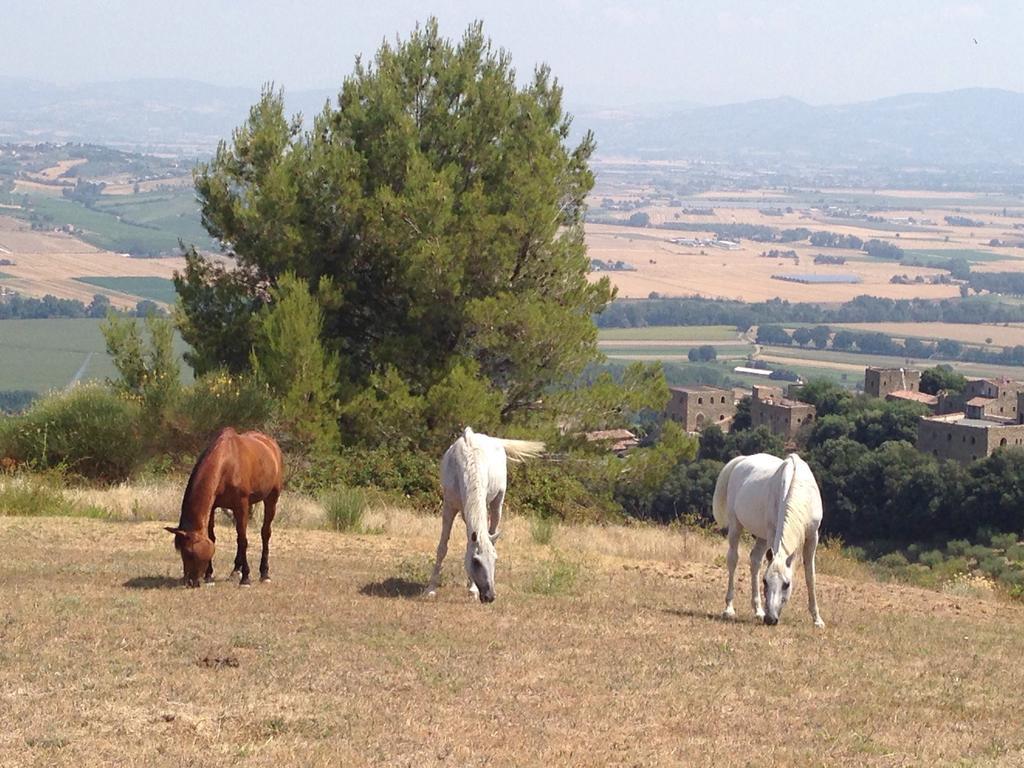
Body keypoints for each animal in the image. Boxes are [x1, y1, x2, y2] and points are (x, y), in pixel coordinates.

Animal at [165, 428, 284, 589]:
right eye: (181, 552)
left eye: (190, 552)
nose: (189, 582)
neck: (227, 463)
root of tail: (271, 444)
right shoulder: (213, 507)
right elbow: (213, 537)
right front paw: (209, 576)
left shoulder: (241, 505)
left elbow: (243, 540)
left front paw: (246, 578)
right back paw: (235, 570)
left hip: (271, 498)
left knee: (265, 533)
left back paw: (264, 574)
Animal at [423, 430, 544, 606]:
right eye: (476, 561)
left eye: (495, 560)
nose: (490, 596)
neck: (466, 465)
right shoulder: (449, 507)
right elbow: (442, 548)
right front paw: (430, 589)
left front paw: (472, 589)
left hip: (497, 503)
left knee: (491, 532)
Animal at [716, 454, 827, 626]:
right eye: (765, 581)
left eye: (786, 584)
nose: (770, 619)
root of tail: (742, 460)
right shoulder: (772, 533)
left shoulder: (813, 536)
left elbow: (811, 576)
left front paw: (817, 620)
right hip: (736, 525)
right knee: (733, 559)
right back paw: (729, 609)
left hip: (761, 537)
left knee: (755, 560)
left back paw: (758, 610)